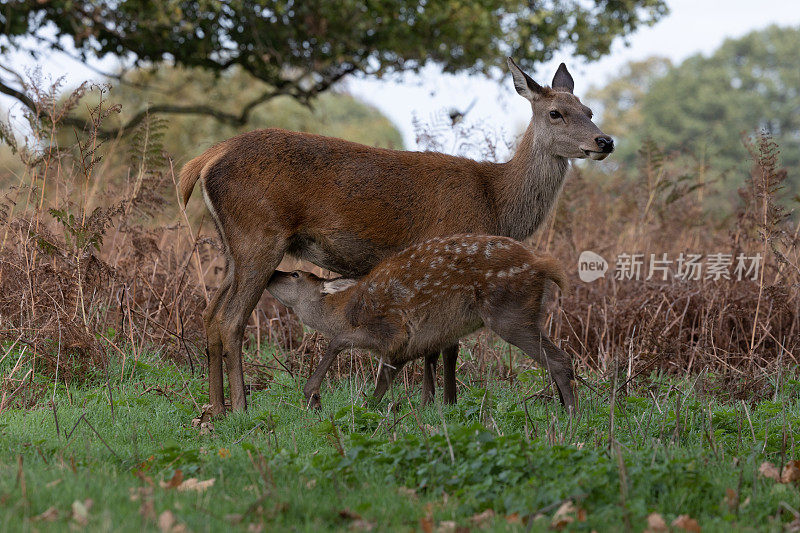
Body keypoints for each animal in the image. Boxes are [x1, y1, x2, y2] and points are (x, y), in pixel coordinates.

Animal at [180, 59, 612, 416]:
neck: (496, 202)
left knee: (210, 313)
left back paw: (215, 410)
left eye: (589, 111)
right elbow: (445, 347)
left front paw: (436, 401)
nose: (604, 141)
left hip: (233, 245)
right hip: (260, 235)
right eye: (555, 113)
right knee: (231, 320)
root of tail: (205, 159)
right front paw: (438, 403)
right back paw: (240, 408)